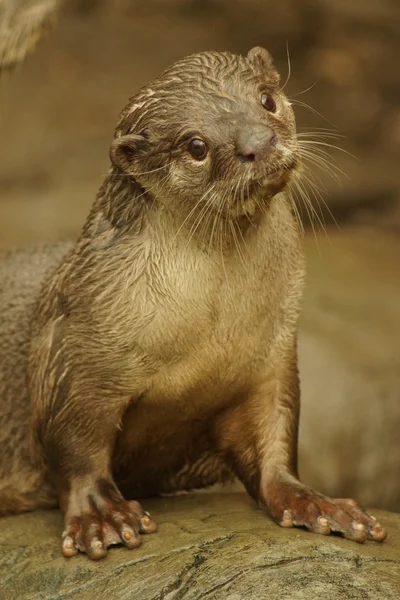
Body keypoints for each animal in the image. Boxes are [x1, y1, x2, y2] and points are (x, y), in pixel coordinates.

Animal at [0, 49, 388, 560]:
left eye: (266, 100)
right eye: (196, 146)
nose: (259, 143)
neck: (206, 333)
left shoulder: (271, 356)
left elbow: (274, 437)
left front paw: (318, 504)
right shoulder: (75, 347)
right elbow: (73, 442)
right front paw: (101, 516)